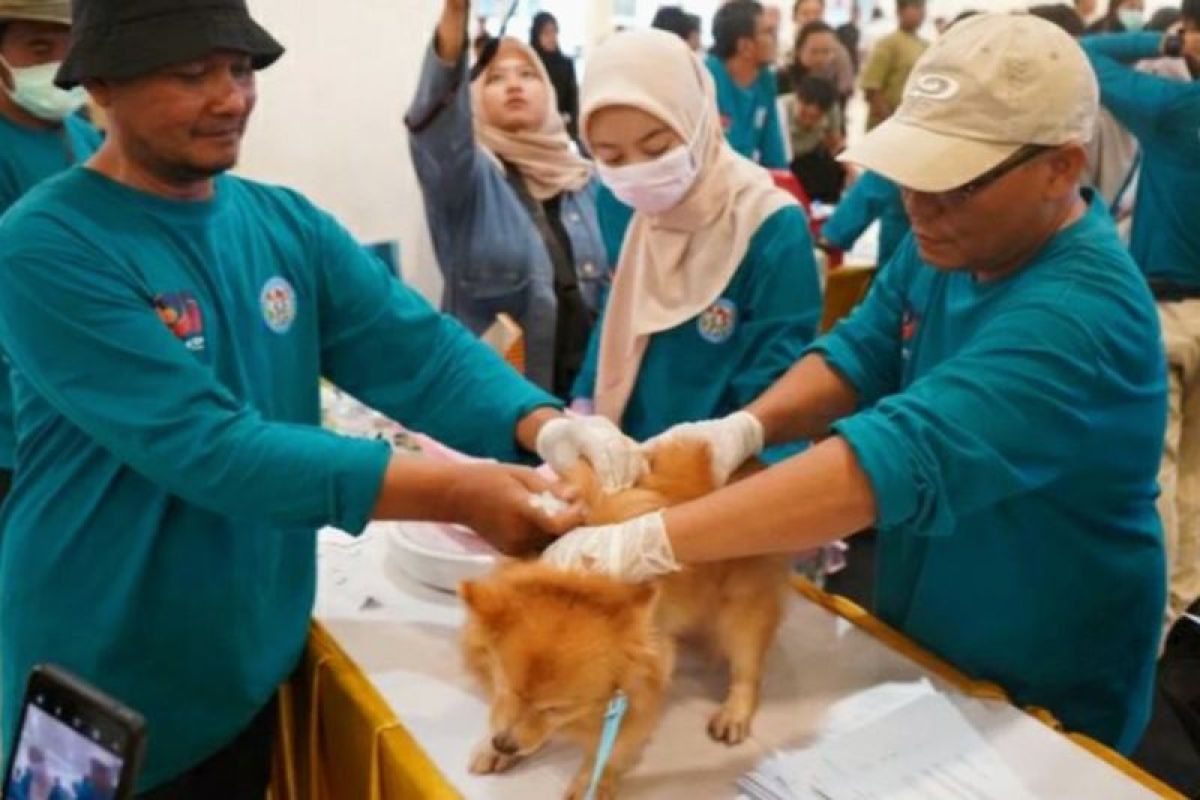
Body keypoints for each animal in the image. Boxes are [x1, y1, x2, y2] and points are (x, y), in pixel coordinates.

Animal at [456, 441, 787, 796]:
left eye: (557, 708)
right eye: (504, 688)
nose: (504, 744)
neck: (578, 581)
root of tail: (756, 465)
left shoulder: (643, 684)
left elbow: (613, 748)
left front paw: (590, 784)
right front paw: (491, 749)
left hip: (741, 610)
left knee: (747, 669)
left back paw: (733, 713)